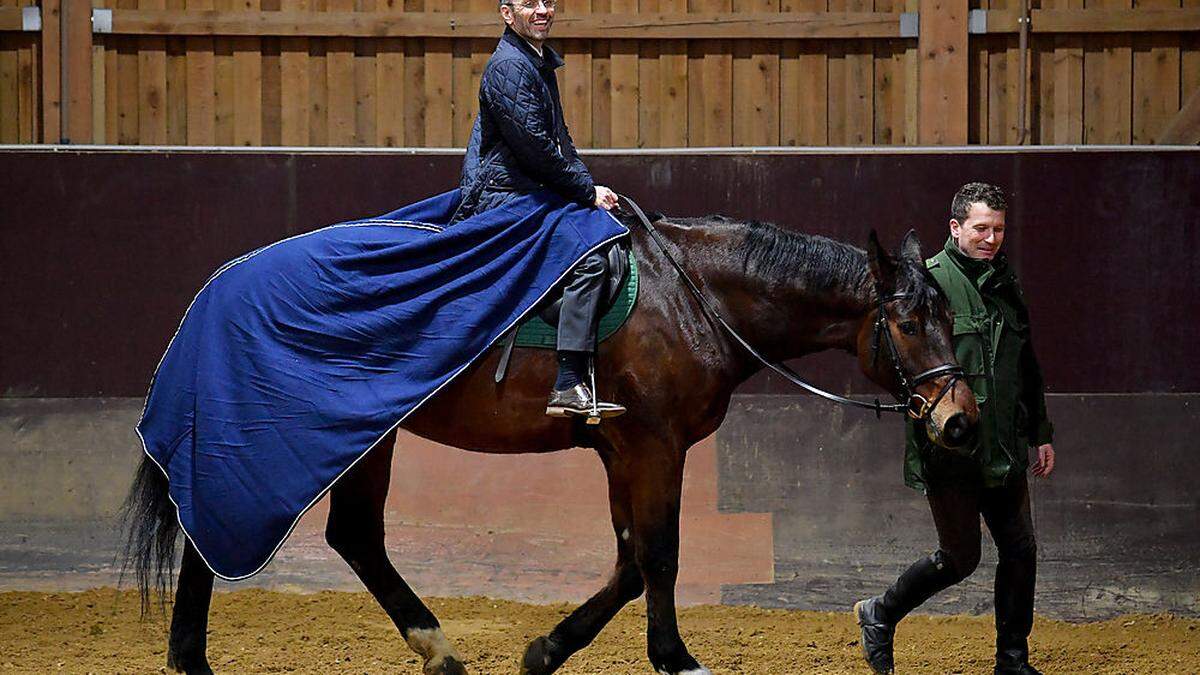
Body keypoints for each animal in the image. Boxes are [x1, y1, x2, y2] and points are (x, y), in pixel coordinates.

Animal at [126, 213, 979, 672]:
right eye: (909, 322)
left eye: (949, 315)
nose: (959, 420)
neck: (692, 295)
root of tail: (227, 279)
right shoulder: (654, 444)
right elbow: (658, 555)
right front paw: (674, 655)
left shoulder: (621, 451)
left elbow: (630, 561)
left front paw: (548, 647)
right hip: (293, 438)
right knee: (243, 527)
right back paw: (195, 655)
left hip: (360, 438)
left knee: (350, 536)